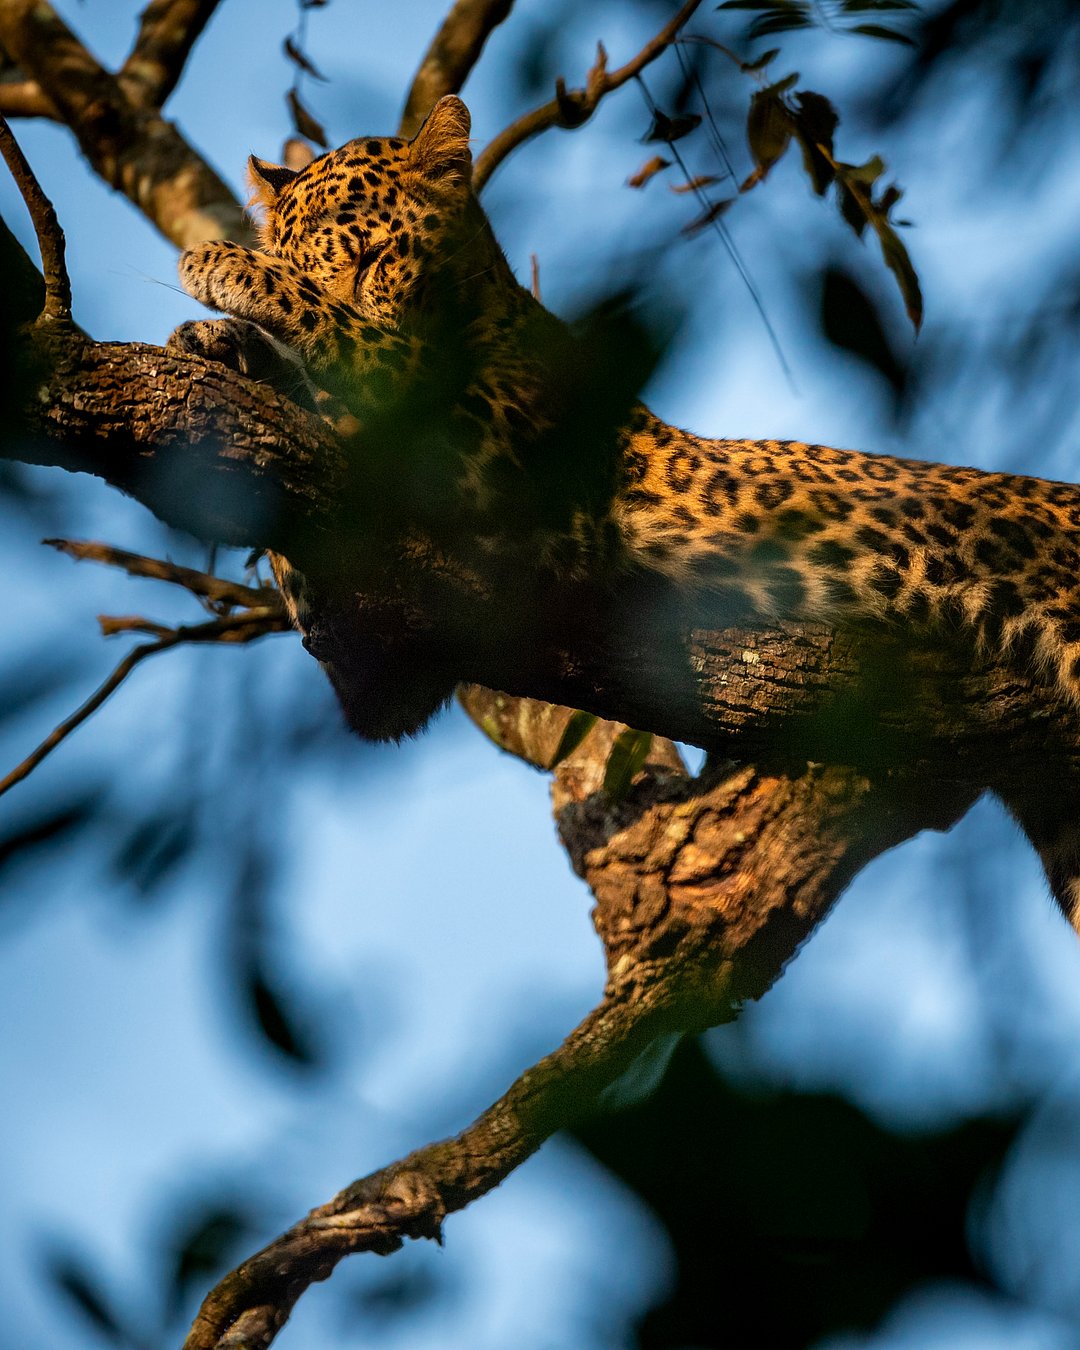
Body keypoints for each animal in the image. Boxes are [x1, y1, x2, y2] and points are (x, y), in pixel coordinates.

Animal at [169, 95, 1080, 920]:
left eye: (374, 258)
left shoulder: (528, 486)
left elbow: (371, 362)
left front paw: (231, 276)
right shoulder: (389, 665)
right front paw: (221, 350)